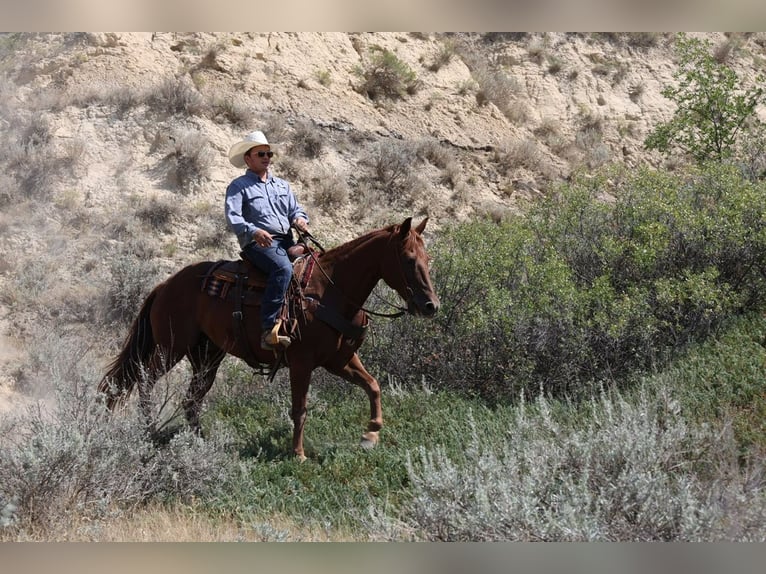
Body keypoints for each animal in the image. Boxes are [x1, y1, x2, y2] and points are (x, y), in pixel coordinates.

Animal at [98, 217, 439, 460]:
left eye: (428, 257)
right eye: (409, 259)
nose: (430, 306)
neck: (331, 291)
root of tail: (165, 285)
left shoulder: (340, 359)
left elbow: (373, 386)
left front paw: (371, 434)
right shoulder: (302, 363)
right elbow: (300, 408)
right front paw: (298, 454)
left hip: (207, 356)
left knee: (192, 398)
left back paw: (199, 442)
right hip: (172, 347)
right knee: (146, 380)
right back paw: (150, 431)